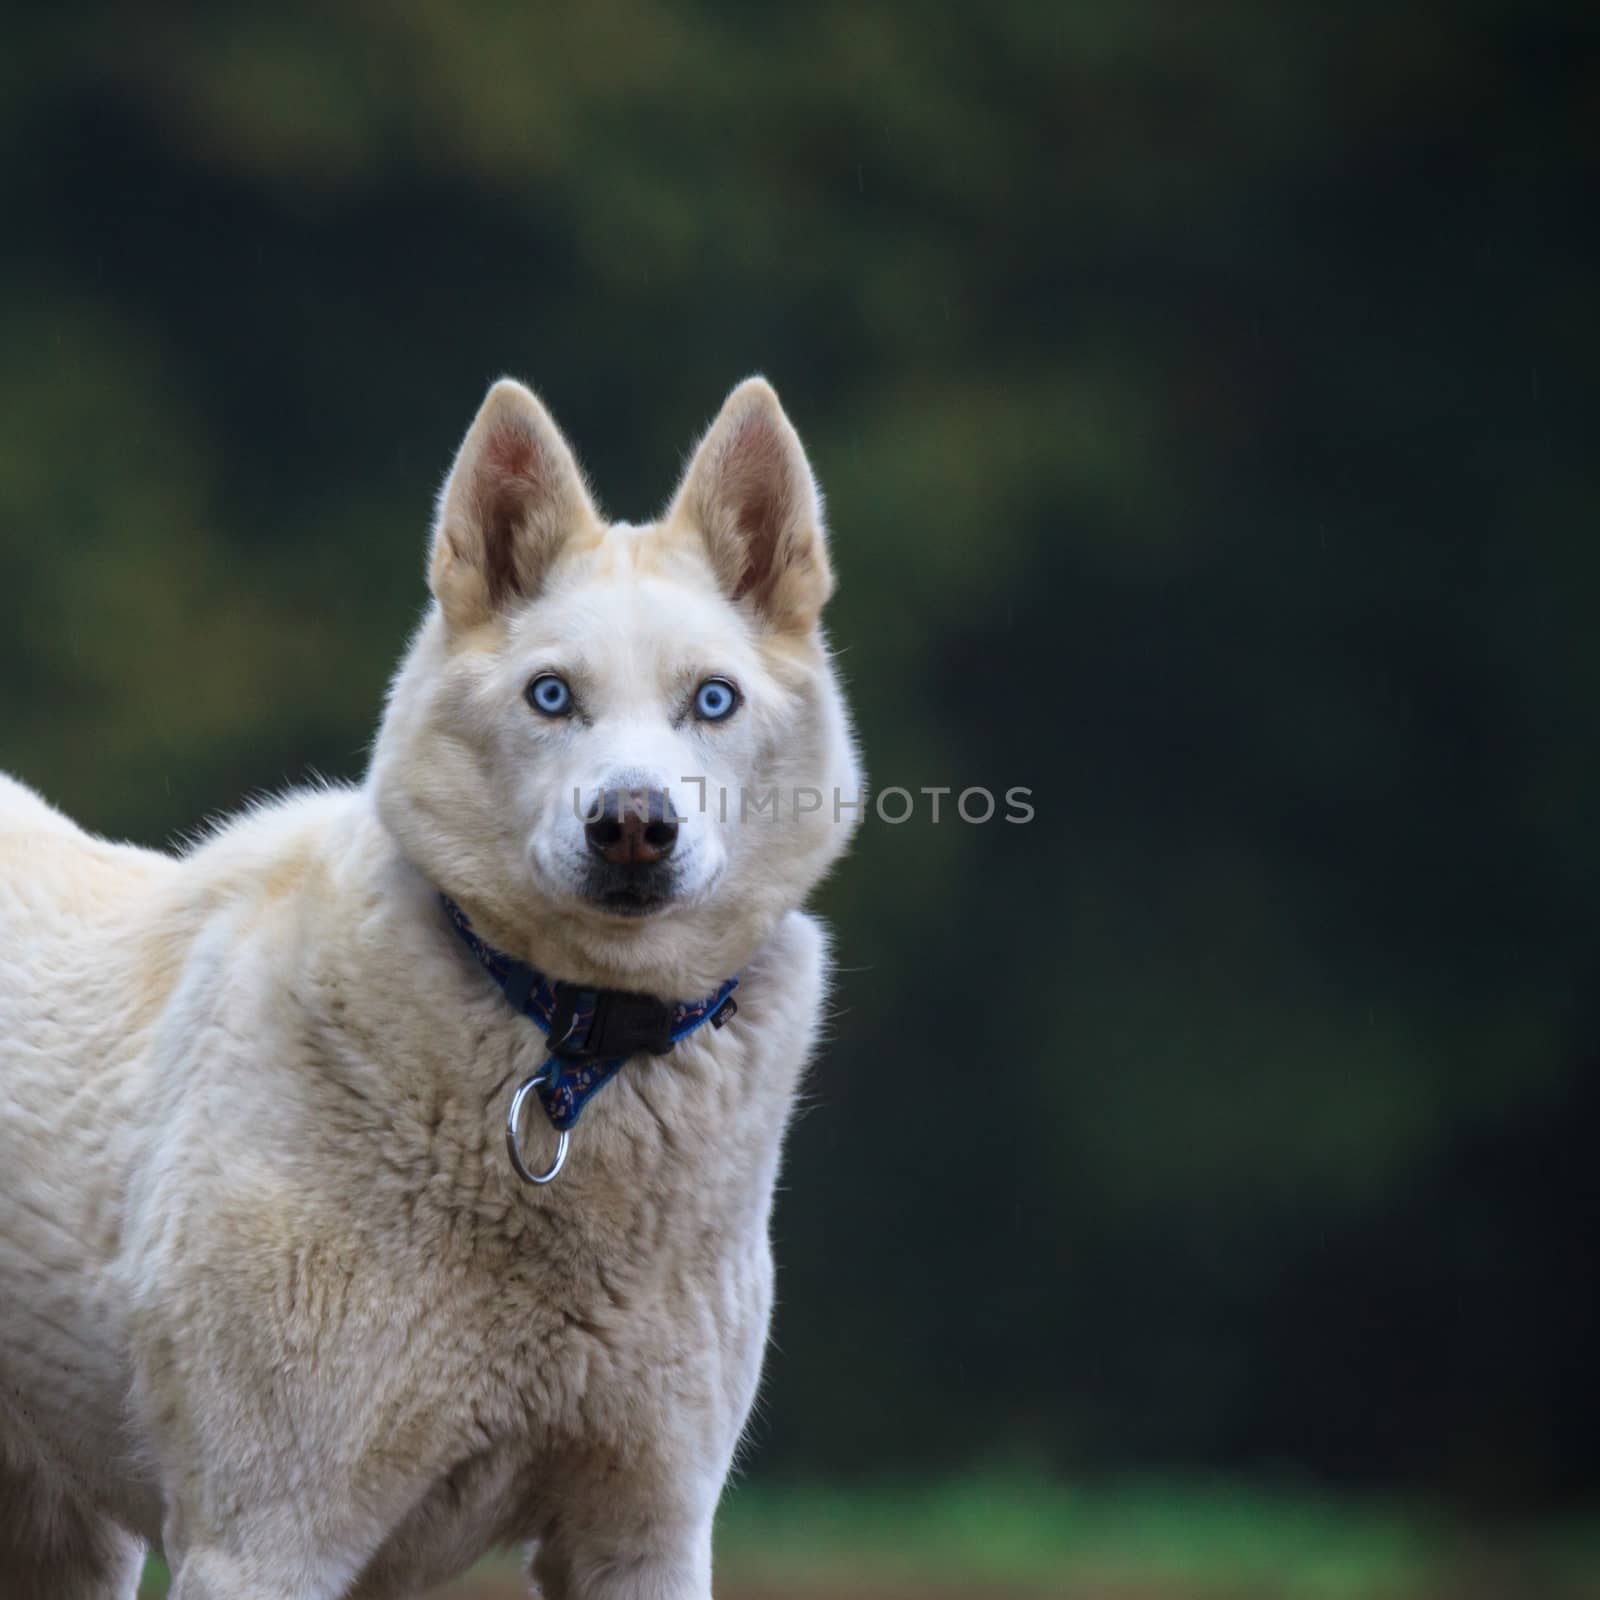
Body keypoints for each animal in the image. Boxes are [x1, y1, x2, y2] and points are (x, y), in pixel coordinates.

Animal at [0, 377, 864, 1600]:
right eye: (551, 695)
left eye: (712, 700)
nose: (633, 825)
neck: (568, 1045)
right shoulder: (265, 1540)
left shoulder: (644, 1535)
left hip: (66, 1541)